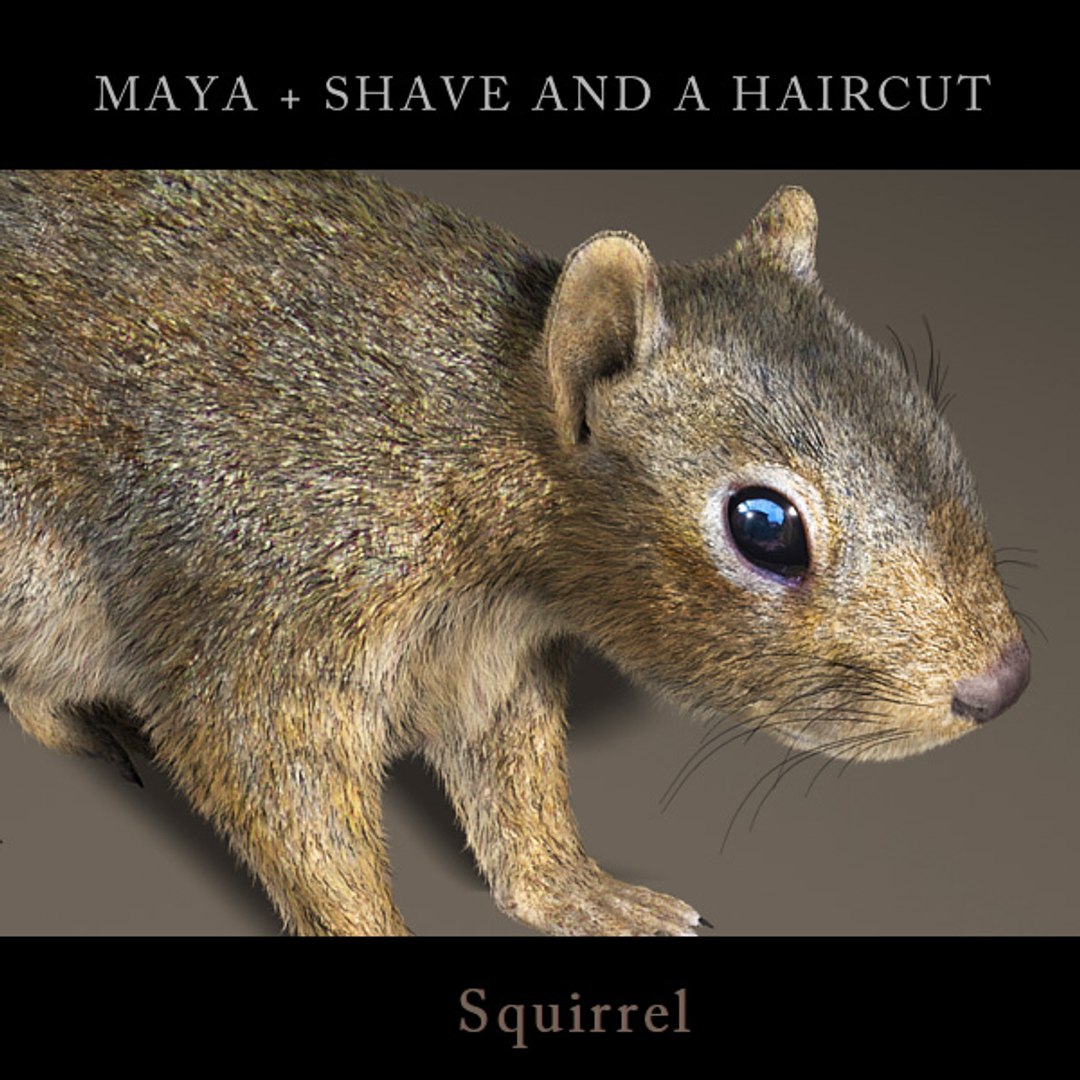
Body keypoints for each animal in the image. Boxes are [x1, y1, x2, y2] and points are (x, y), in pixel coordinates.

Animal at [0, 171, 1029, 936]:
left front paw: (583, 892)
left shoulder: (490, 653)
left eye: (925, 417)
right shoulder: (260, 605)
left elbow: (517, 781)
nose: (1001, 684)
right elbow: (280, 791)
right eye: (765, 527)